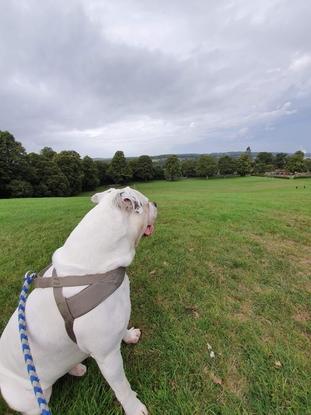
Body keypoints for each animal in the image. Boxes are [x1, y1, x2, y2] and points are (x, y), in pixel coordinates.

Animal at [0, 188, 156, 415]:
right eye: (145, 203)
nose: (155, 203)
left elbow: (122, 329)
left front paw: (129, 336)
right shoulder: (108, 358)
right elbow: (122, 386)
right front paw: (134, 408)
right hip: (32, 400)